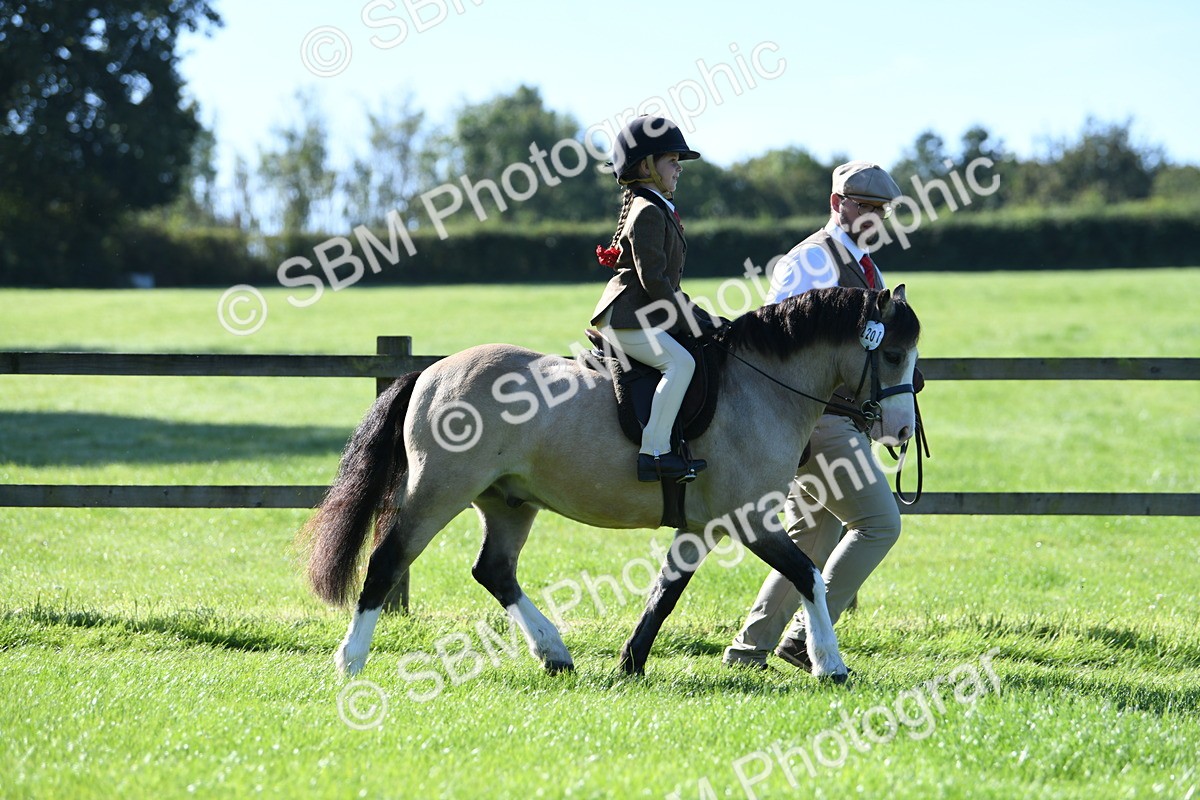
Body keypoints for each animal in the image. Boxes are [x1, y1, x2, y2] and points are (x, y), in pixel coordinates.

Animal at [300, 285, 920, 682]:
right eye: (892, 353)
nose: (900, 431)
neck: (760, 387)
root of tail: (431, 371)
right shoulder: (747, 519)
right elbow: (808, 574)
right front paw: (831, 665)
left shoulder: (702, 527)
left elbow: (666, 592)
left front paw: (631, 663)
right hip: (438, 491)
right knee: (388, 560)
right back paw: (350, 661)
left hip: (508, 502)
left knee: (494, 570)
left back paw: (554, 653)